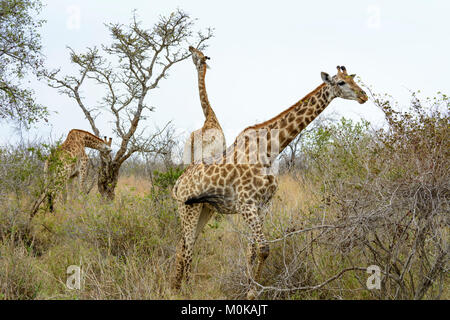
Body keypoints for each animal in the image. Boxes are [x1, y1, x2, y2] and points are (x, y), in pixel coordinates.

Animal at [171, 64, 368, 298]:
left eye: (353, 79)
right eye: (341, 82)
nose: (364, 95)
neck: (270, 149)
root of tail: (178, 182)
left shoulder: (263, 205)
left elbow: (253, 250)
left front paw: (250, 290)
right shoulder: (247, 204)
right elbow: (264, 248)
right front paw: (251, 292)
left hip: (204, 209)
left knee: (183, 245)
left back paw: (175, 287)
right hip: (187, 209)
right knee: (187, 246)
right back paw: (186, 290)